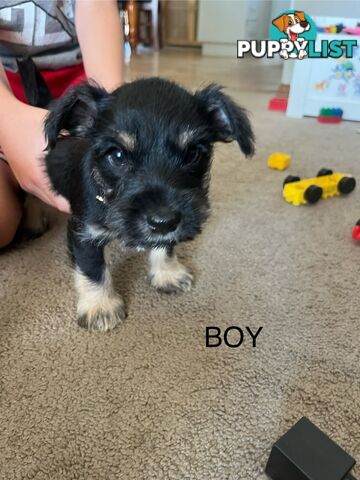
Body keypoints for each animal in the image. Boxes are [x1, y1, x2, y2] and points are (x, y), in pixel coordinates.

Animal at [40, 79, 253, 332]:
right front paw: (100, 306)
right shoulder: (84, 232)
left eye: (193, 153)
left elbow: (166, 246)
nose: (163, 221)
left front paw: (167, 274)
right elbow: (92, 268)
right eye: (118, 155)